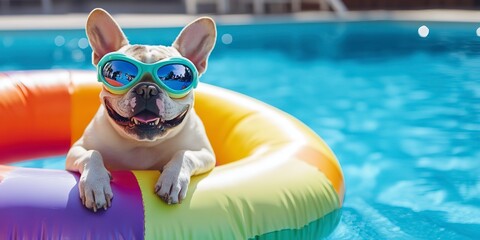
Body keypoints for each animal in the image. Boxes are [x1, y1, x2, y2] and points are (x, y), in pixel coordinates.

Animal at [66, 8, 217, 211]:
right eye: (122, 75)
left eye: (174, 78)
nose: (147, 89)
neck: (143, 145)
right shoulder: (78, 149)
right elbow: (92, 154)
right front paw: (95, 183)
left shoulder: (204, 153)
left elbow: (185, 155)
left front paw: (173, 179)